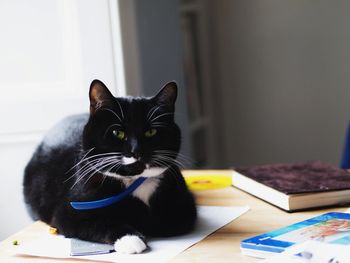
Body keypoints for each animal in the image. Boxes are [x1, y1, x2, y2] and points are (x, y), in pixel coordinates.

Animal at [23, 80, 197, 254]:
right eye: (117, 133)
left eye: (151, 132)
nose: (136, 151)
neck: (134, 181)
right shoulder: (69, 211)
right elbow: (102, 222)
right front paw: (131, 238)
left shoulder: (184, 204)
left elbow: (171, 220)